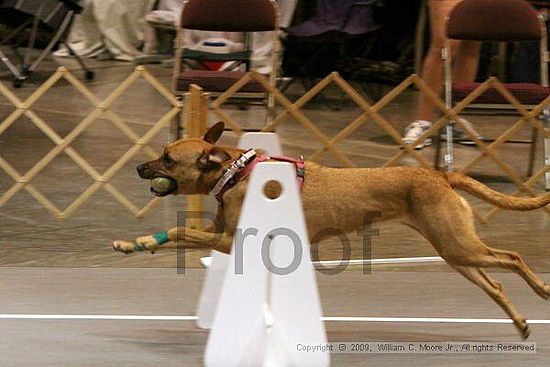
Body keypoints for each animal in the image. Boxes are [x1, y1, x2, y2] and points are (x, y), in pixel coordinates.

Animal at [113, 122, 550, 340]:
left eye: (167, 158)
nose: (138, 167)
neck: (236, 172)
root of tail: (440, 175)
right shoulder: (218, 233)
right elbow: (177, 235)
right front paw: (133, 243)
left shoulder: (226, 240)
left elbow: (178, 231)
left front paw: (143, 240)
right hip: (454, 250)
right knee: (495, 283)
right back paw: (521, 323)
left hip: (458, 245)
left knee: (513, 258)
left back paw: (543, 290)